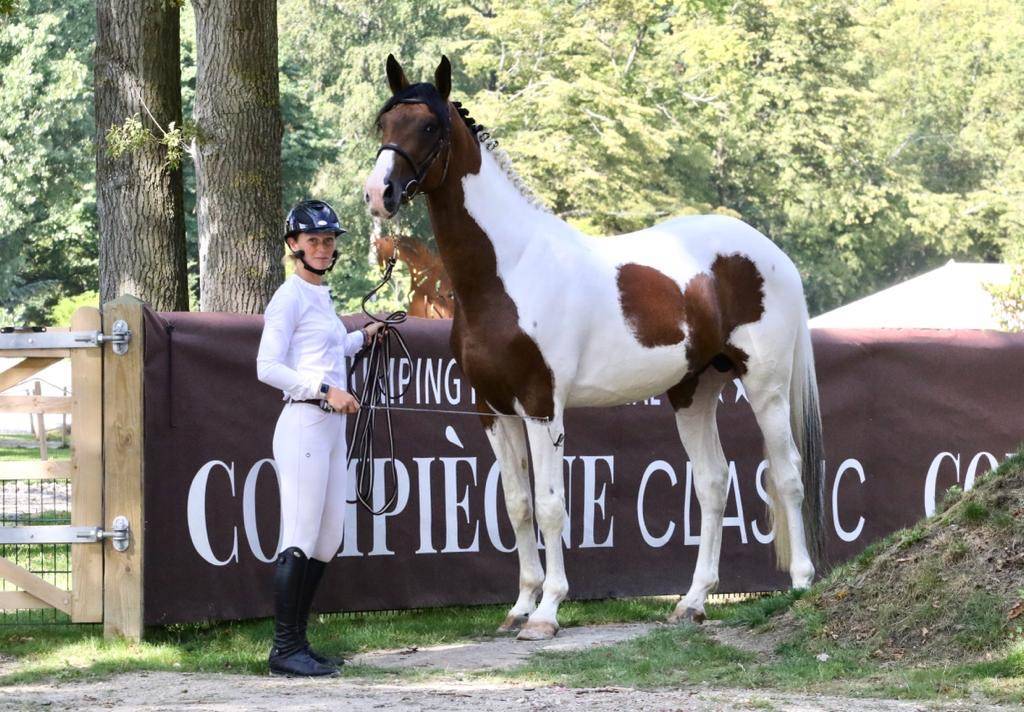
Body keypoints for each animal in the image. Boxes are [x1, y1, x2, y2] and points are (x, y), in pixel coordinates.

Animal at [363, 55, 825, 641]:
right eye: (384, 121)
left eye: (428, 126)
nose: (379, 194)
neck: (507, 270)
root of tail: (772, 255)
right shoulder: (492, 410)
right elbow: (517, 505)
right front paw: (519, 606)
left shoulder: (543, 407)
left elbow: (551, 506)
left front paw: (547, 612)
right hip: (694, 391)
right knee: (714, 482)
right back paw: (692, 601)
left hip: (765, 386)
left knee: (786, 474)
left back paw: (802, 583)